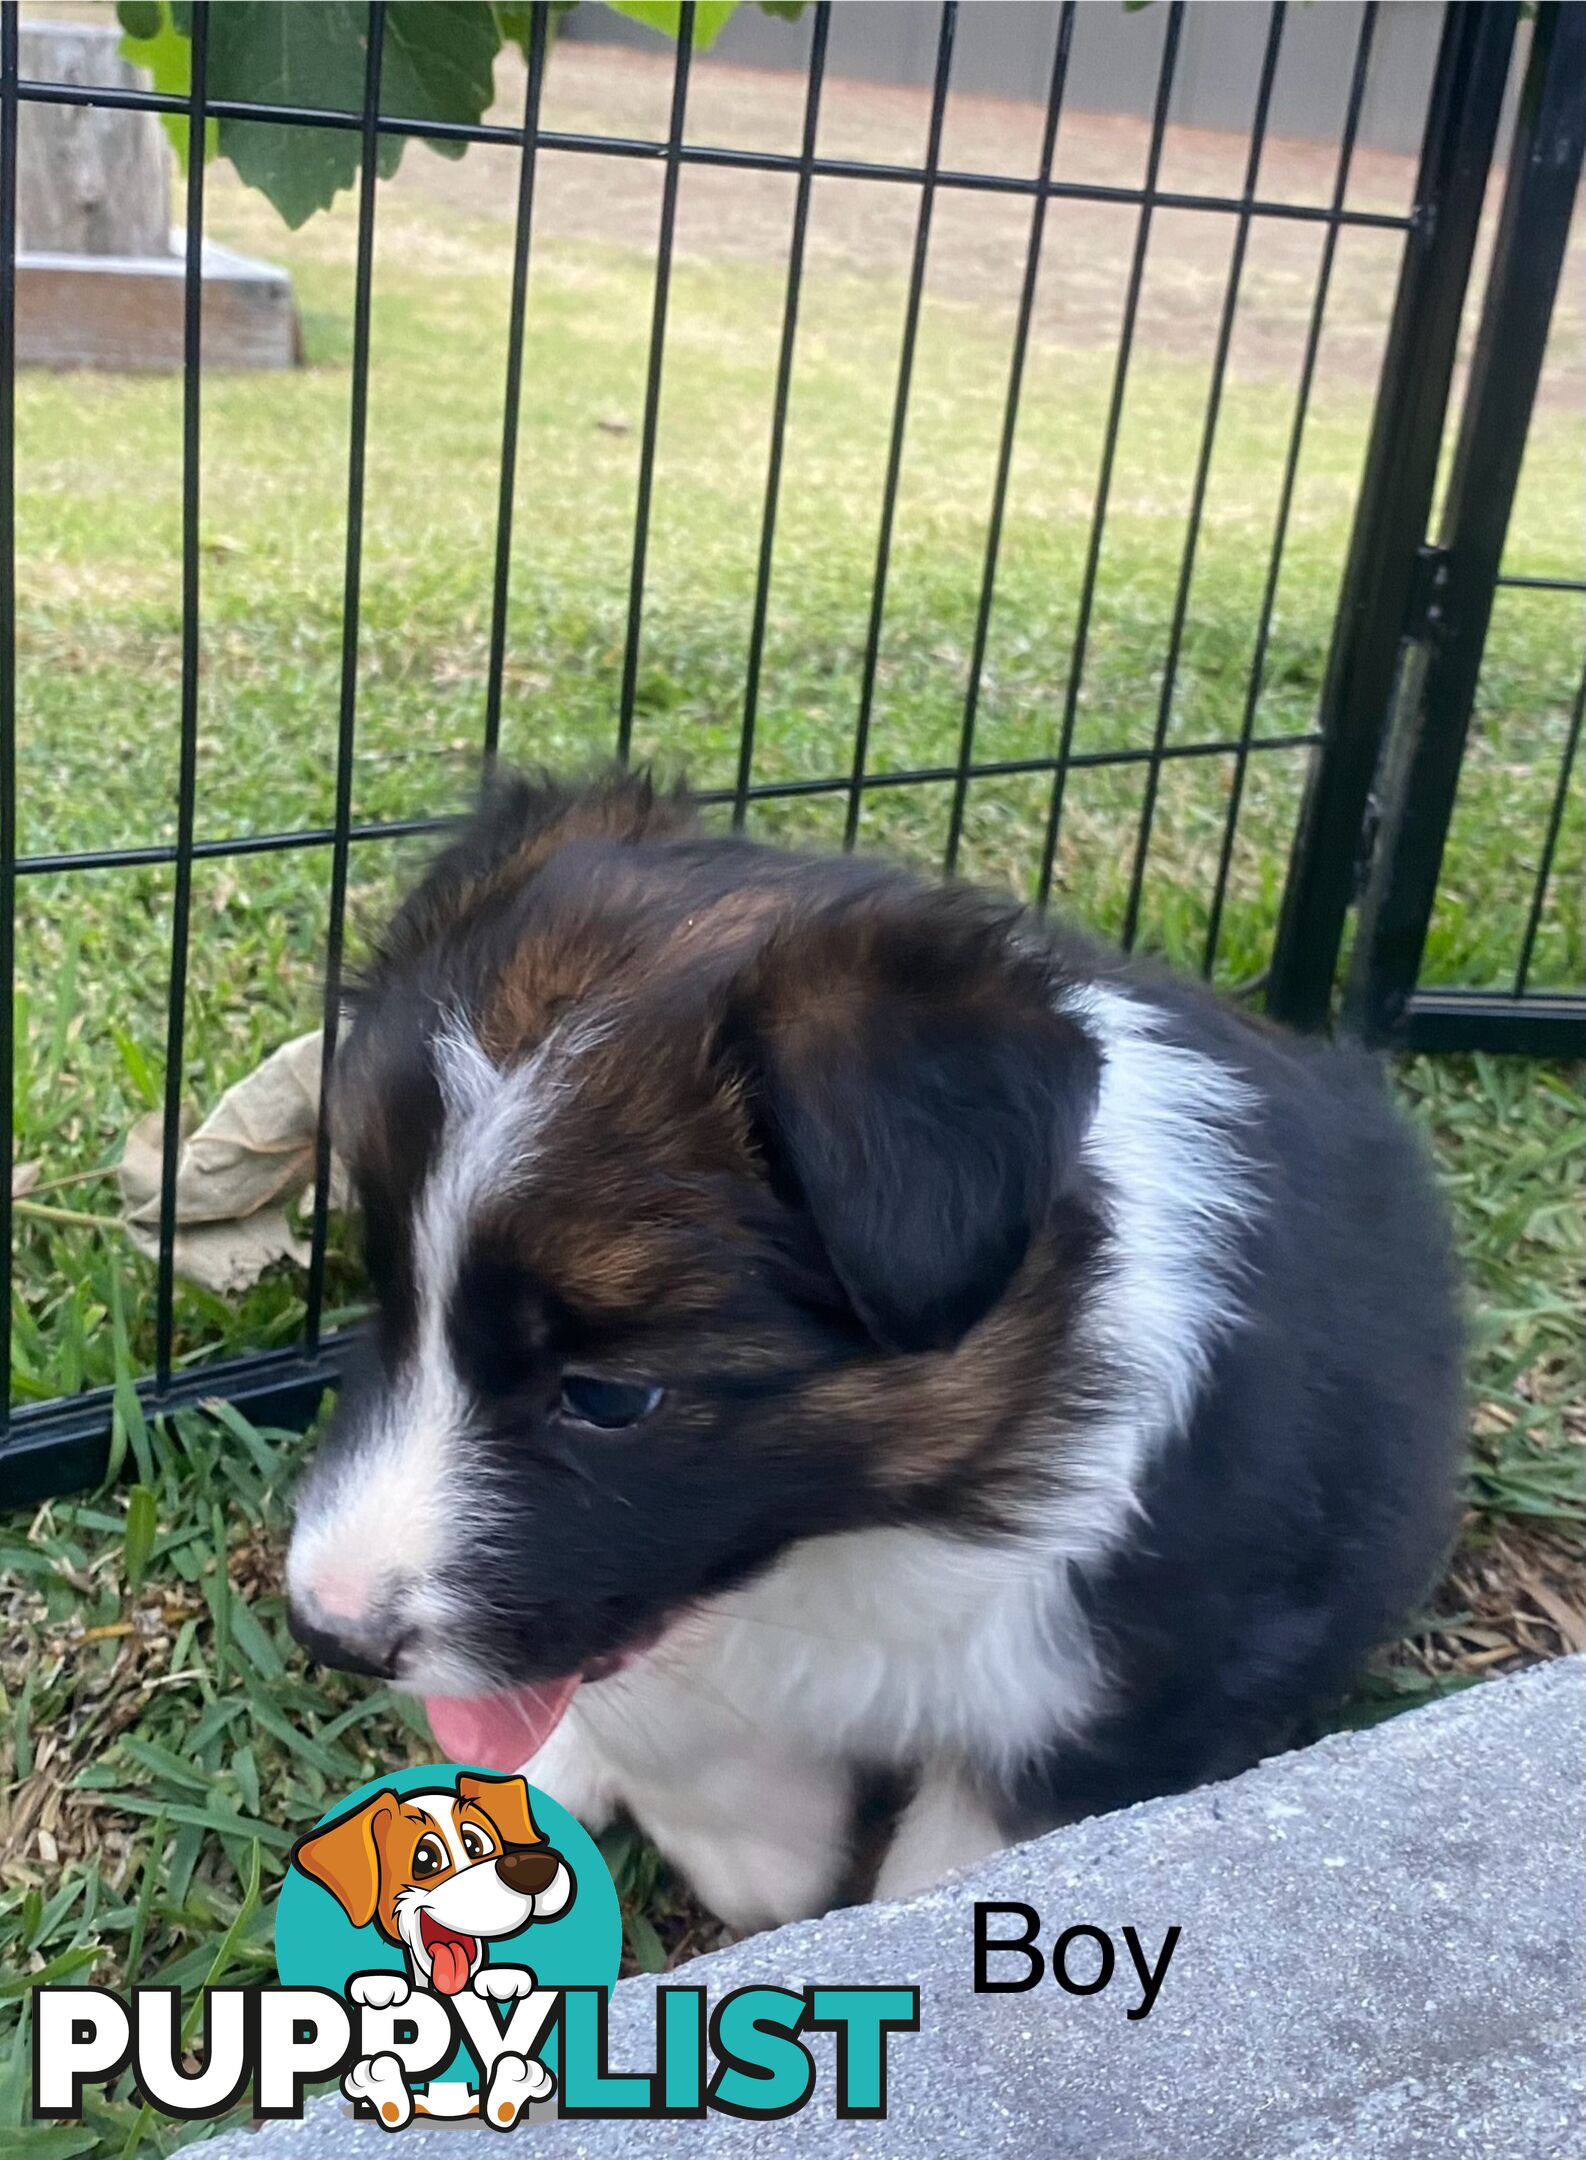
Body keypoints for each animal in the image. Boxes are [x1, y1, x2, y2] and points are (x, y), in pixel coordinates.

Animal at [289, 777, 1469, 1944]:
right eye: (388, 1298)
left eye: (611, 1399)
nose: (328, 1632)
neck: (861, 1533)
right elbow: (661, 1690)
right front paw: (758, 1847)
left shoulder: (1111, 1688)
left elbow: (954, 1871)